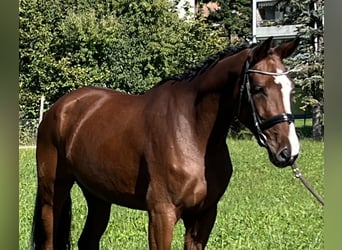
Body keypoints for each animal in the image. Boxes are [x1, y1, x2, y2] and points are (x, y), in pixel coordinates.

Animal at [31, 36, 300, 249]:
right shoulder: (162, 214)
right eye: (258, 88)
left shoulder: (203, 216)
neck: (193, 133)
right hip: (52, 194)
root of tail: (59, 108)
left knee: (87, 241)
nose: (289, 151)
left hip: (98, 196)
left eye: (291, 88)